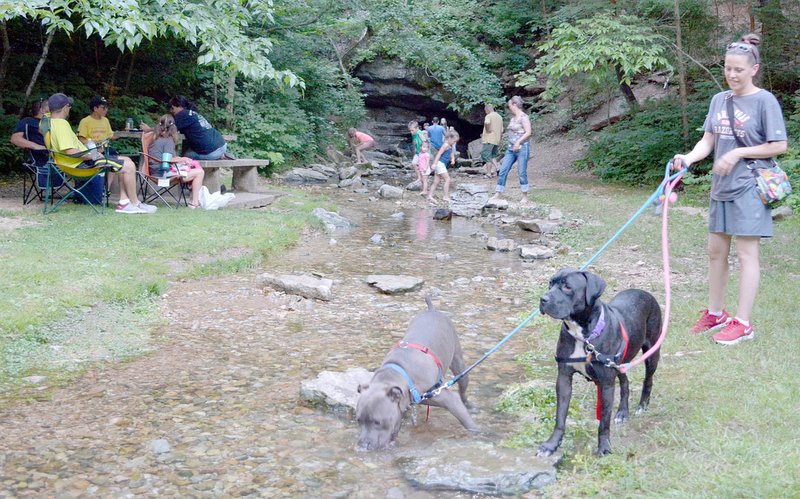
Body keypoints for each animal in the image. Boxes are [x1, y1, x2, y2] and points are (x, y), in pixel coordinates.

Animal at [358, 296, 482, 454]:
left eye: (377, 422)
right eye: (358, 420)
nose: (363, 446)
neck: (400, 372)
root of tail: (432, 310)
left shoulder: (449, 399)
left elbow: (469, 423)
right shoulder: (398, 410)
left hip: (459, 365)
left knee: (463, 390)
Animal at [536, 270, 660, 458]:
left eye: (567, 287)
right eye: (550, 283)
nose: (543, 299)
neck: (583, 335)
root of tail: (644, 292)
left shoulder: (606, 383)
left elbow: (604, 422)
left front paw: (604, 448)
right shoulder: (564, 378)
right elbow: (560, 416)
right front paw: (551, 445)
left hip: (651, 353)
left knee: (648, 380)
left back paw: (642, 405)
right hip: (619, 363)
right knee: (625, 382)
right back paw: (622, 413)